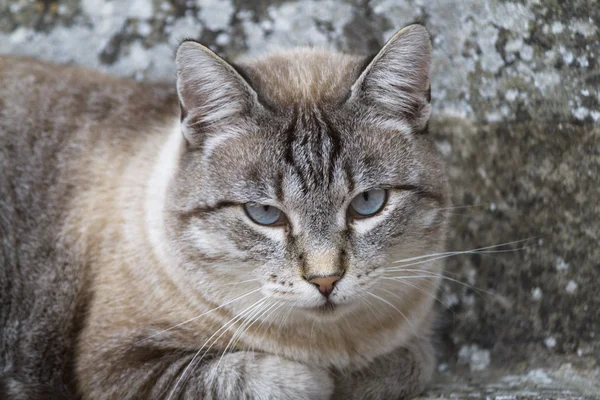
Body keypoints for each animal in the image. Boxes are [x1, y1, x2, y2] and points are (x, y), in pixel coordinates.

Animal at [1, 23, 450, 398]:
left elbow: (413, 362)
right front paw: (329, 378)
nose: (325, 281)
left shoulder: (413, 338)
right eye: (264, 213)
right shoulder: (119, 366)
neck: (334, 344)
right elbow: (281, 380)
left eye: (367, 204)